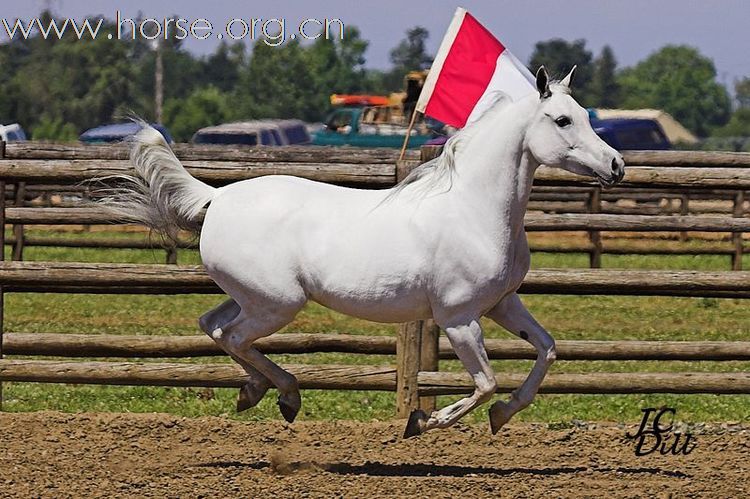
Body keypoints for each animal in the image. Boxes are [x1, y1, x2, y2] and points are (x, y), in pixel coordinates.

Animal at [103, 66, 624, 438]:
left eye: (585, 115)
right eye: (563, 120)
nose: (617, 165)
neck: (474, 210)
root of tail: (217, 197)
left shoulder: (502, 304)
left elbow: (547, 351)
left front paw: (502, 415)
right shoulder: (459, 318)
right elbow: (485, 383)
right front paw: (423, 421)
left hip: (252, 298)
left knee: (213, 326)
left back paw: (257, 392)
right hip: (277, 303)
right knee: (231, 336)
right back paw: (286, 396)